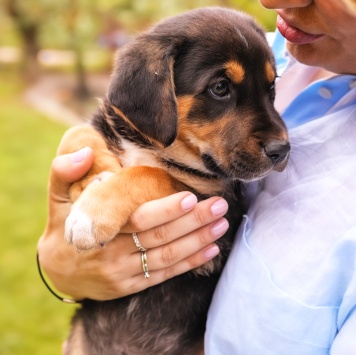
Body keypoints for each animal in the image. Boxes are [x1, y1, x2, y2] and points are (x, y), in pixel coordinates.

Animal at [55, 7, 290, 355]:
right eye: (220, 87)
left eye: (271, 88)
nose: (282, 150)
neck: (156, 146)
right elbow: (77, 133)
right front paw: (91, 179)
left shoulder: (219, 210)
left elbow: (153, 174)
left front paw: (91, 215)